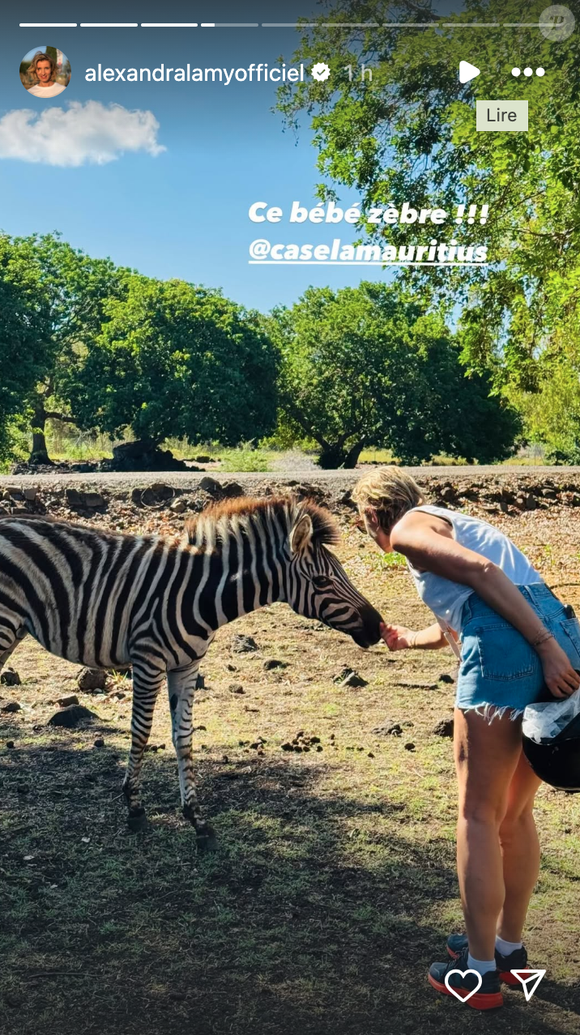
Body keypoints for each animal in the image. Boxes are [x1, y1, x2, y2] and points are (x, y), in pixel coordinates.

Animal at [0, 496, 381, 844]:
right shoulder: (148, 659)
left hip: (13, 631)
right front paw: (135, 808)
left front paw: (196, 819)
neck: (200, 594)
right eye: (321, 582)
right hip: (5, 625)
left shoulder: (186, 666)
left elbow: (184, 737)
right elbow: (141, 732)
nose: (378, 628)